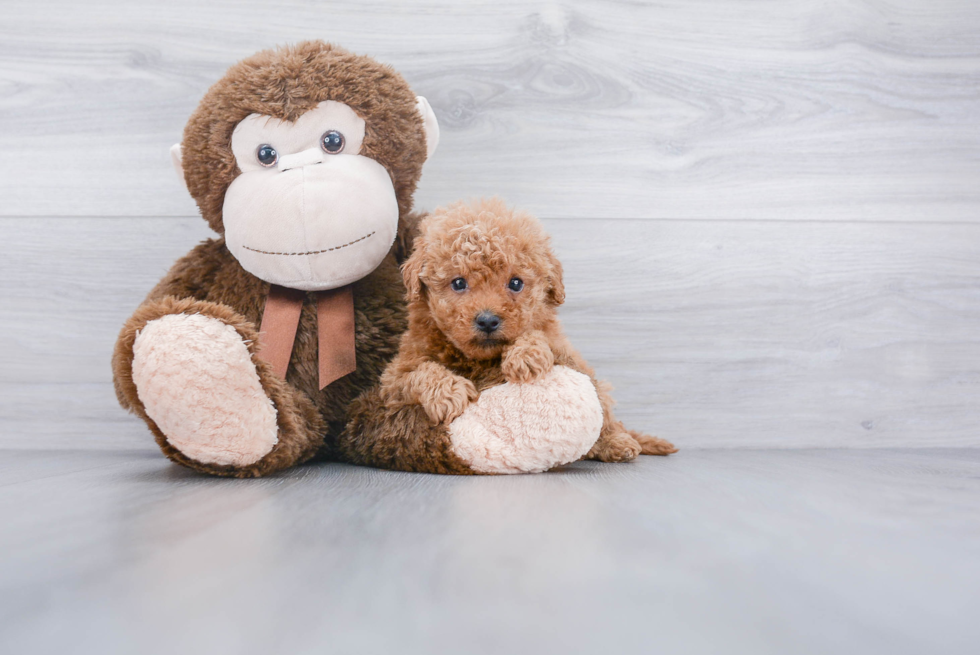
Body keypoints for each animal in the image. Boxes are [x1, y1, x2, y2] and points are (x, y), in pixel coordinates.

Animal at [340, 197, 676, 474]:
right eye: (458, 283)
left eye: (516, 283)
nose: (488, 320)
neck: (477, 359)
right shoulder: (394, 378)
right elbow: (420, 372)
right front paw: (449, 392)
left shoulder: (561, 346)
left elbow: (539, 335)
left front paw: (525, 355)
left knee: (607, 414)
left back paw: (618, 443)